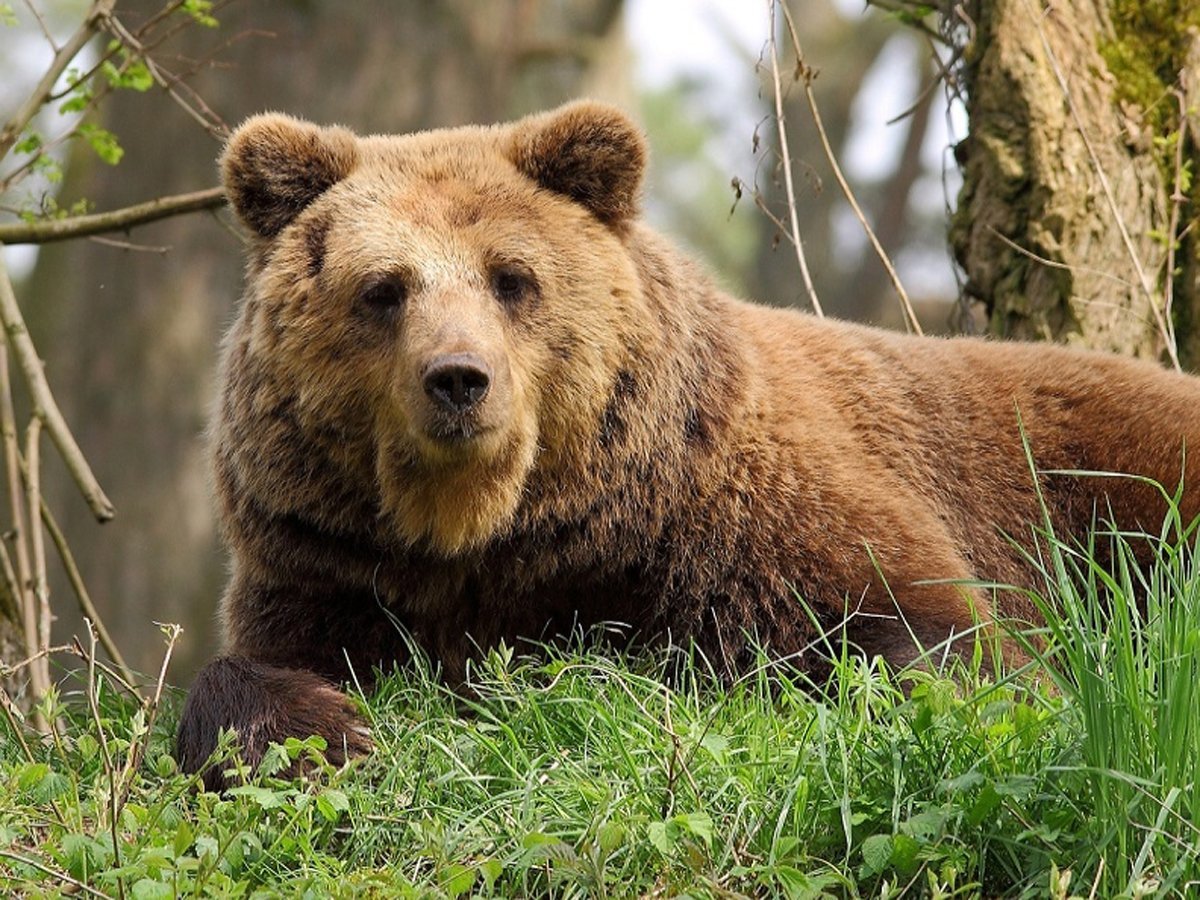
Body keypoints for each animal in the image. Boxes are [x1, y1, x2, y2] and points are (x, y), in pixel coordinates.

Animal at [177, 100, 1200, 787]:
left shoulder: (742, 521)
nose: (459, 379)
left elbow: (936, 648)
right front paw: (322, 728)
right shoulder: (330, 564)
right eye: (383, 288)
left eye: (512, 278)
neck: (500, 536)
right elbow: (252, 669)